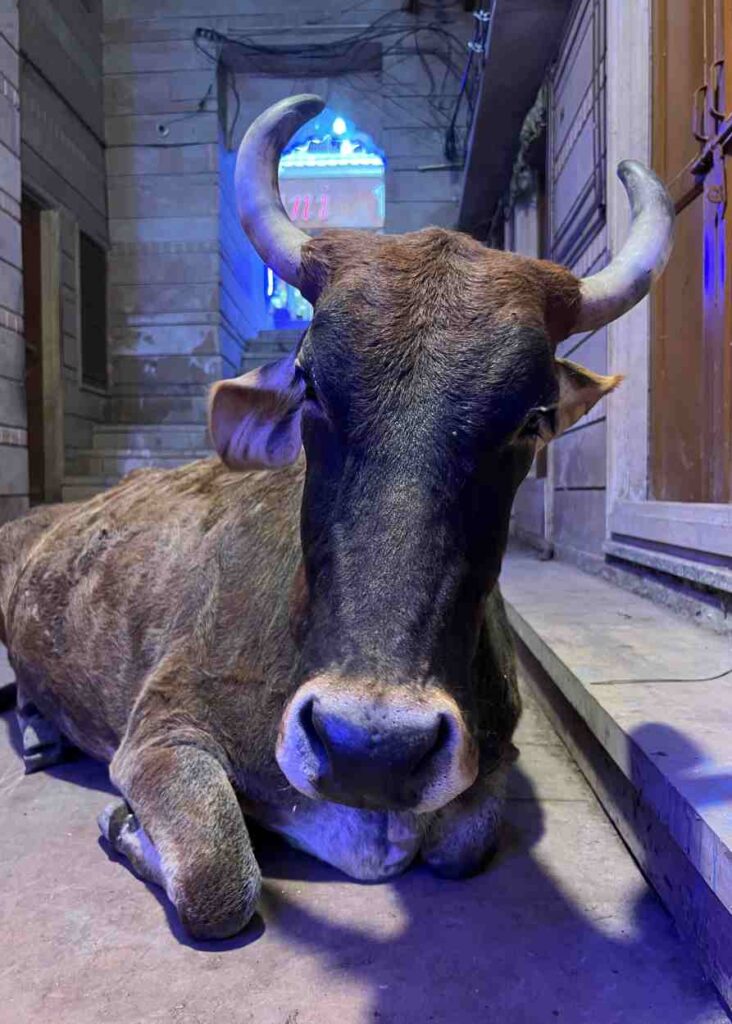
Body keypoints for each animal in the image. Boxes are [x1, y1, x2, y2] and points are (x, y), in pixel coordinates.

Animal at [0, 96, 674, 940]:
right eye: (310, 384)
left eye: (533, 417)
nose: (370, 746)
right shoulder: (160, 729)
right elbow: (218, 878)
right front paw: (123, 825)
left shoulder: (496, 756)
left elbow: (463, 842)